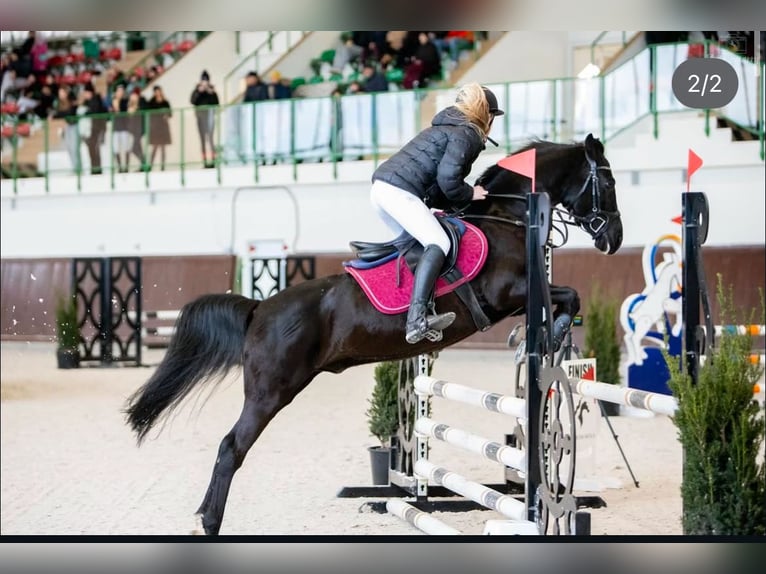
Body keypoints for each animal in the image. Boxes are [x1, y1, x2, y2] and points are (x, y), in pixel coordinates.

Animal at [123, 133, 620, 536]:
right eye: (609, 183)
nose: (614, 239)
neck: (508, 216)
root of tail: (260, 308)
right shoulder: (509, 293)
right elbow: (569, 296)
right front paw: (556, 334)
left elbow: (568, 298)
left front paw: (555, 337)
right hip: (271, 392)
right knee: (231, 447)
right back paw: (209, 522)